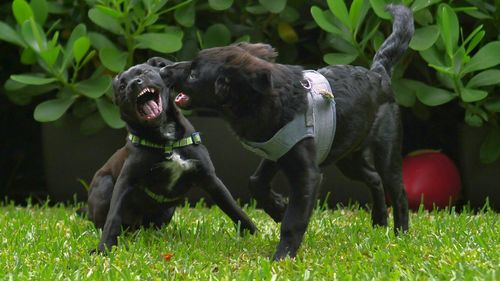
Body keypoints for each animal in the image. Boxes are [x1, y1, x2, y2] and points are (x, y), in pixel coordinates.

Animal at [161, 5, 414, 260]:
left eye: (194, 74)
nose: (163, 70)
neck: (269, 99)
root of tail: (379, 74)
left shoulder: (307, 173)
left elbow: (294, 220)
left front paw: (282, 256)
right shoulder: (277, 150)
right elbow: (256, 182)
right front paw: (278, 208)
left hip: (386, 151)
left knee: (398, 192)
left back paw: (400, 234)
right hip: (347, 156)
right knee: (373, 178)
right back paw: (379, 221)